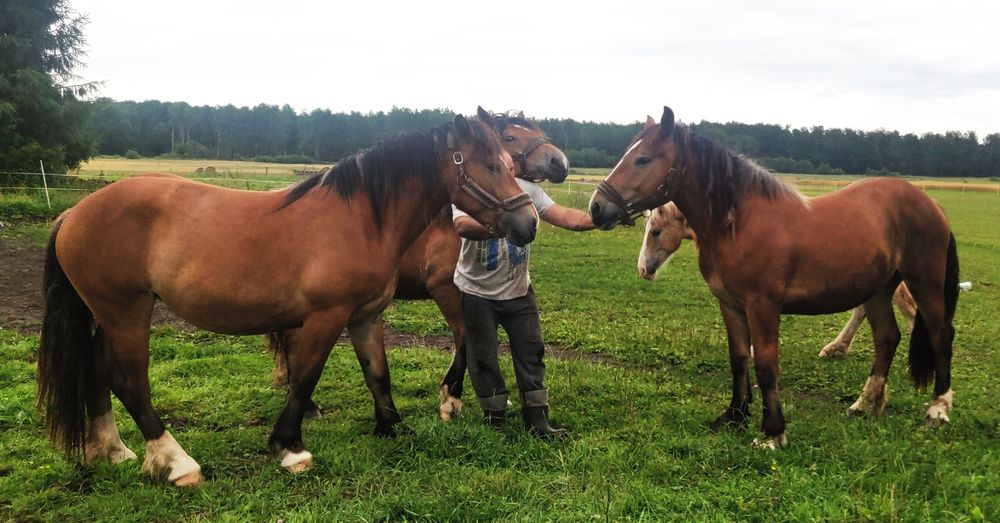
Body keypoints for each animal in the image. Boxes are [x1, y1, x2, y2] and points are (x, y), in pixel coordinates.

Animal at [37, 111, 540, 488]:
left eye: (507, 160)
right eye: (491, 164)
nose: (529, 223)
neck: (361, 218)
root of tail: (73, 213)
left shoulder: (366, 316)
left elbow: (378, 375)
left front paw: (391, 427)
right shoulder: (325, 317)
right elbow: (304, 377)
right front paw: (291, 448)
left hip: (108, 315)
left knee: (98, 373)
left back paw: (111, 449)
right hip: (126, 312)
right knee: (130, 381)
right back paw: (177, 463)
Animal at [268, 109, 572, 422]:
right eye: (510, 137)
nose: (559, 162)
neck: (447, 226)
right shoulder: (445, 289)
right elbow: (464, 339)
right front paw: (450, 399)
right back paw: (307, 405)